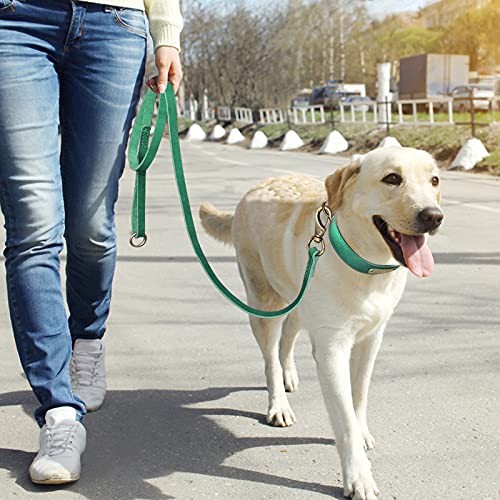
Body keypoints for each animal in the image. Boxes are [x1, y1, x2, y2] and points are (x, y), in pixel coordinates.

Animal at [198, 147, 442, 500]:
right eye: (392, 178)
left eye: (434, 180)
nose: (433, 216)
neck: (365, 265)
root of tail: (256, 188)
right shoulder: (332, 350)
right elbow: (344, 417)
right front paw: (358, 477)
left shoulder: (371, 339)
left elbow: (359, 395)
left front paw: (362, 430)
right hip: (263, 304)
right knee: (270, 357)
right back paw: (278, 403)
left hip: (299, 302)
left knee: (287, 341)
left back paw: (289, 376)